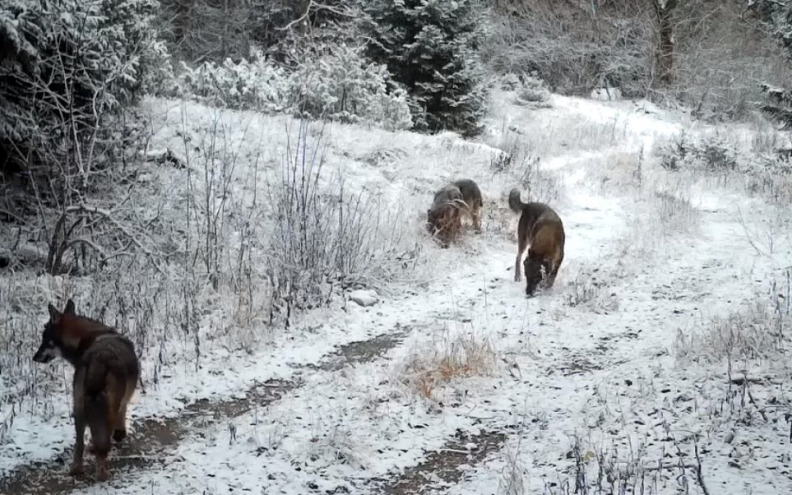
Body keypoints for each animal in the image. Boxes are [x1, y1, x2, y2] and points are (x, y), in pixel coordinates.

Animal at [32, 300, 141, 482]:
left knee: (79, 443)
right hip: (101, 410)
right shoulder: (122, 403)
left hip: (78, 410)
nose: (34, 358)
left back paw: (77, 469)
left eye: (44, 338)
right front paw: (119, 435)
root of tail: (99, 359)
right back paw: (102, 475)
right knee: (101, 446)